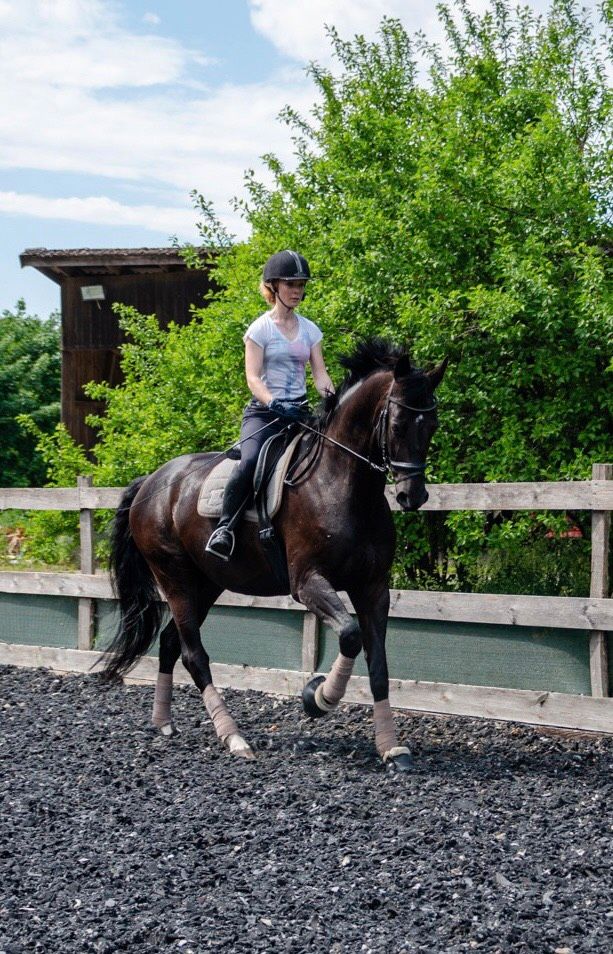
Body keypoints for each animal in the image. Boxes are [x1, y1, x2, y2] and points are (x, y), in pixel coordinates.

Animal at [100, 338, 444, 768]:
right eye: (396, 425)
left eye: (432, 426)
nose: (412, 496)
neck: (341, 485)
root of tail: (152, 481)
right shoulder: (308, 583)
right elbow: (349, 636)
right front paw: (317, 697)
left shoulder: (373, 588)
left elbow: (378, 663)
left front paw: (391, 748)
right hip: (174, 577)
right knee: (193, 655)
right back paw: (234, 738)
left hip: (205, 583)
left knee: (169, 644)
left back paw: (163, 723)